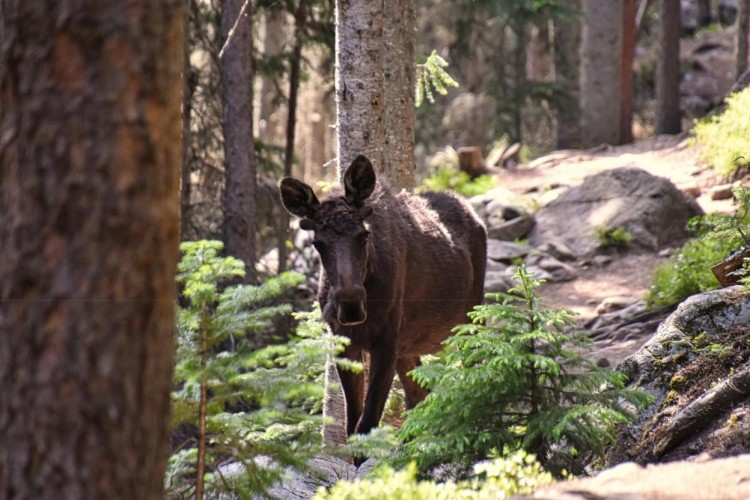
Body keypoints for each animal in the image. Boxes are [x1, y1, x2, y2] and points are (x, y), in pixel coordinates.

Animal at [280, 155, 488, 438]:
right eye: (318, 244)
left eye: (364, 235)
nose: (351, 306)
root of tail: (475, 214)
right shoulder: (346, 341)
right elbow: (352, 424)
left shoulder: (387, 340)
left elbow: (366, 424)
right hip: (408, 345)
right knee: (418, 397)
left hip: (471, 317)